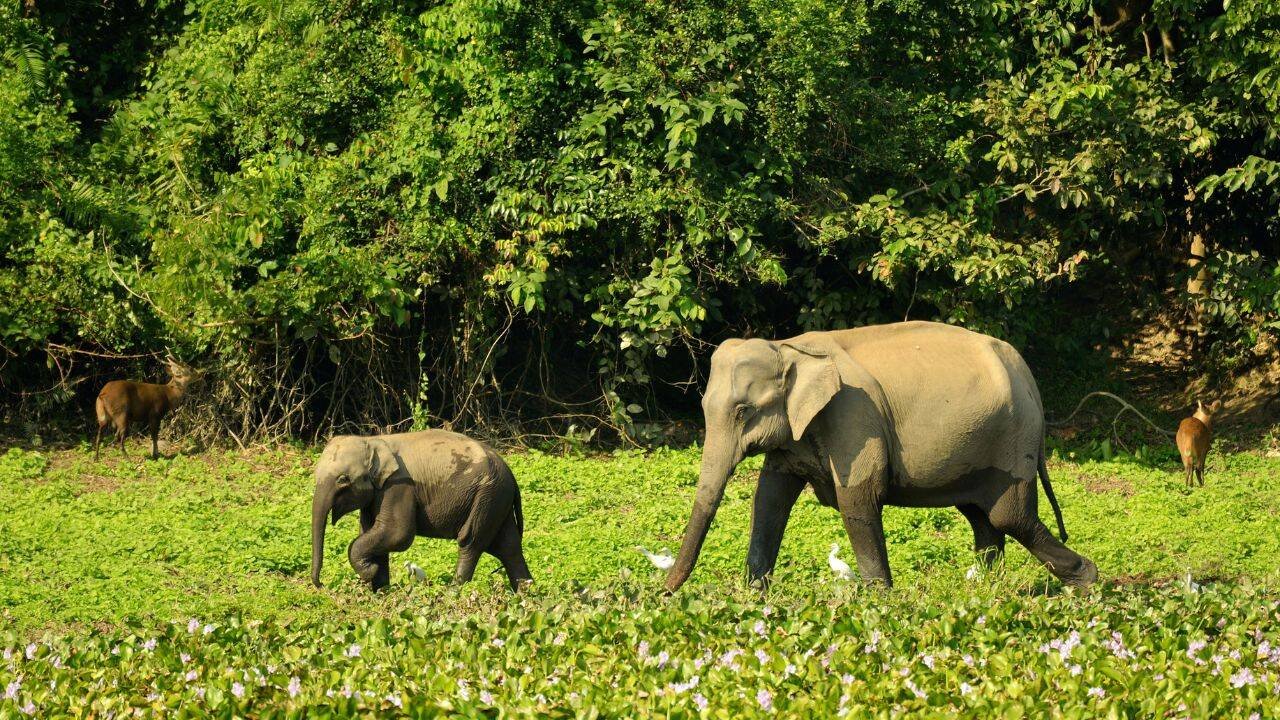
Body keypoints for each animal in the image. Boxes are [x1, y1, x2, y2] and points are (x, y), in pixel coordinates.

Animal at [310, 430, 532, 592]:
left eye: (342, 479)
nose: (321, 585)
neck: (373, 440)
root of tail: (510, 474)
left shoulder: (399, 486)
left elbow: (397, 534)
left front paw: (370, 573)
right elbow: (371, 532)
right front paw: (381, 591)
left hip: (487, 496)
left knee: (471, 541)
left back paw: (453, 593)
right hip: (497, 499)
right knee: (508, 547)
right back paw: (525, 596)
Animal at [664, 321, 1098, 592]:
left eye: (742, 411)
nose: (664, 594)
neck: (789, 346)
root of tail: (1026, 371)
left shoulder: (855, 416)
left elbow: (857, 500)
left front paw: (879, 600)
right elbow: (770, 498)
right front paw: (756, 596)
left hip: (1012, 439)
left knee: (1009, 515)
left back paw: (1087, 581)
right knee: (983, 517)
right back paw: (981, 587)